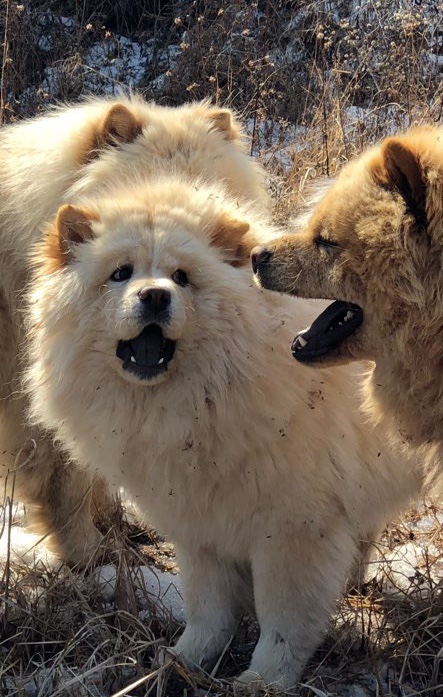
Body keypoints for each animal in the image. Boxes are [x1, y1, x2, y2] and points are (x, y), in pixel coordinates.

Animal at [0, 96, 268, 564]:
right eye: (151, 183)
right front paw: (89, 554)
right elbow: (65, 480)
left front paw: (113, 529)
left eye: (216, 186)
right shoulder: (37, 396)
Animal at [25, 171, 430, 688]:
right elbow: (208, 612)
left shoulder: (293, 532)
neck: (199, 400)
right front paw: (182, 662)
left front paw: (263, 681)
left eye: (181, 277)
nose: (155, 295)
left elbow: (283, 623)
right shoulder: (201, 529)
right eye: (120, 274)